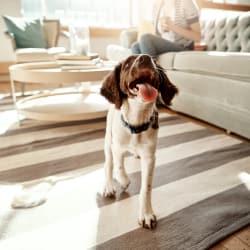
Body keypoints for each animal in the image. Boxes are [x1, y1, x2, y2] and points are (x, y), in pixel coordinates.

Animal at [99, 54, 178, 229]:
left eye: (155, 62)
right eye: (127, 64)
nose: (145, 58)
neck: (136, 122)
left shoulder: (149, 157)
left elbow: (146, 188)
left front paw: (146, 214)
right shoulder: (117, 146)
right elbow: (119, 167)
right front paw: (124, 181)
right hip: (108, 139)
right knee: (108, 164)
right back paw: (109, 186)